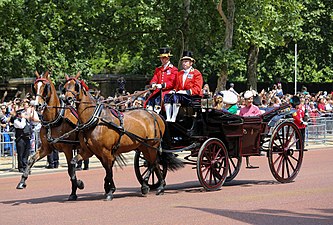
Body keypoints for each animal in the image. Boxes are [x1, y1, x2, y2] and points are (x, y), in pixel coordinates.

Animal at [16, 71, 90, 200]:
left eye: (45, 87)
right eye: (34, 87)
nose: (37, 105)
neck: (54, 120)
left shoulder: (67, 149)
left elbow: (70, 170)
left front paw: (76, 188)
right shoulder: (46, 148)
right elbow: (31, 159)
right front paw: (22, 181)